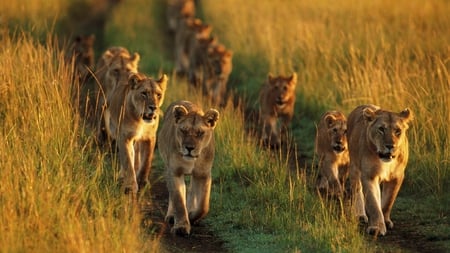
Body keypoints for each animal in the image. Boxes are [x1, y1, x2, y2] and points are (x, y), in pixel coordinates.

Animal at [157, 99, 221, 235]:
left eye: (200, 133)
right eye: (183, 130)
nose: (189, 148)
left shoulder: (203, 174)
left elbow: (203, 206)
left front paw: (191, 216)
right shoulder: (174, 172)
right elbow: (178, 201)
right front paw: (181, 227)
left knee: (192, 192)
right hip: (167, 166)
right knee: (173, 195)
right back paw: (171, 216)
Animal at [348, 104, 414, 236]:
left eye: (397, 131)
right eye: (381, 129)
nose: (390, 146)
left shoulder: (397, 176)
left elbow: (388, 201)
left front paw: (386, 221)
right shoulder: (369, 176)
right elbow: (373, 203)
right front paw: (377, 227)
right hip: (354, 168)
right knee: (357, 191)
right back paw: (360, 215)